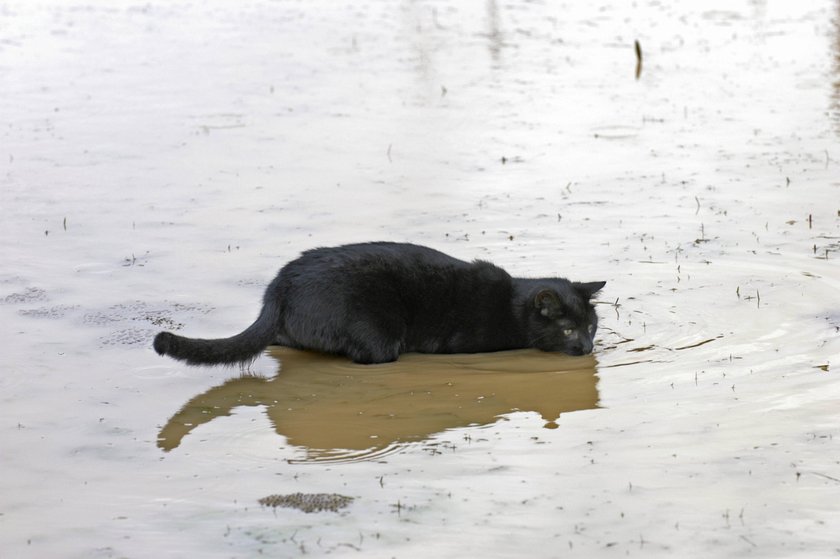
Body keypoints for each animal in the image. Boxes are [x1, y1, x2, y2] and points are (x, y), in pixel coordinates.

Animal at [154, 242, 608, 366]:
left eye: (591, 327)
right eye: (568, 329)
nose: (587, 347)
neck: (511, 301)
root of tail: (278, 288)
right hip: (376, 329)